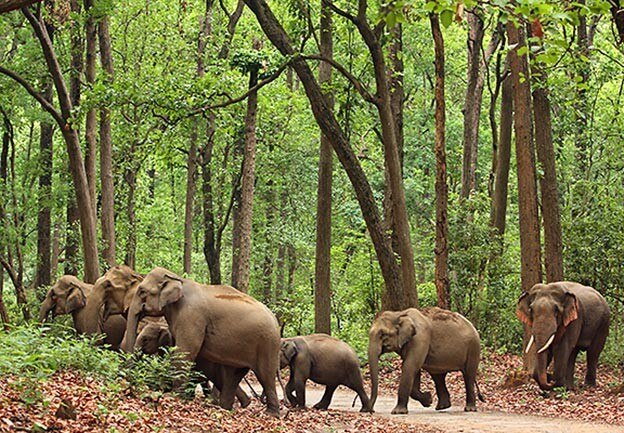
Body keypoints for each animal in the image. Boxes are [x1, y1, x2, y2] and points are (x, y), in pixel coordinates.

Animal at [120, 266, 280, 416]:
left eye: (142, 292)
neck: (177, 279)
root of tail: (274, 319)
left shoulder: (191, 317)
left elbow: (184, 352)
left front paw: (174, 397)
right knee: (232, 375)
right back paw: (227, 408)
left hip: (267, 343)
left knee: (266, 375)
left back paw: (270, 414)